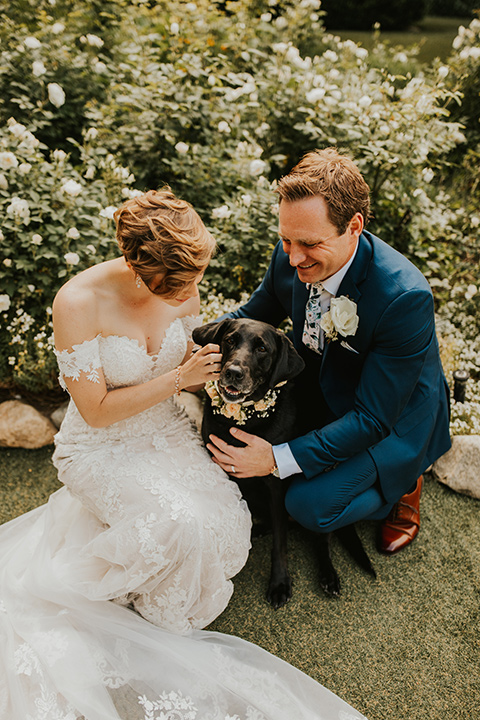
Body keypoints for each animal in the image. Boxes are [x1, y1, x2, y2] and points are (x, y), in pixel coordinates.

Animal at [191, 320, 304, 608]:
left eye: (262, 349)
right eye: (230, 340)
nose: (233, 373)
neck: (245, 421)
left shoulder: (276, 486)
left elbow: (280, 541)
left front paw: (279, 583)